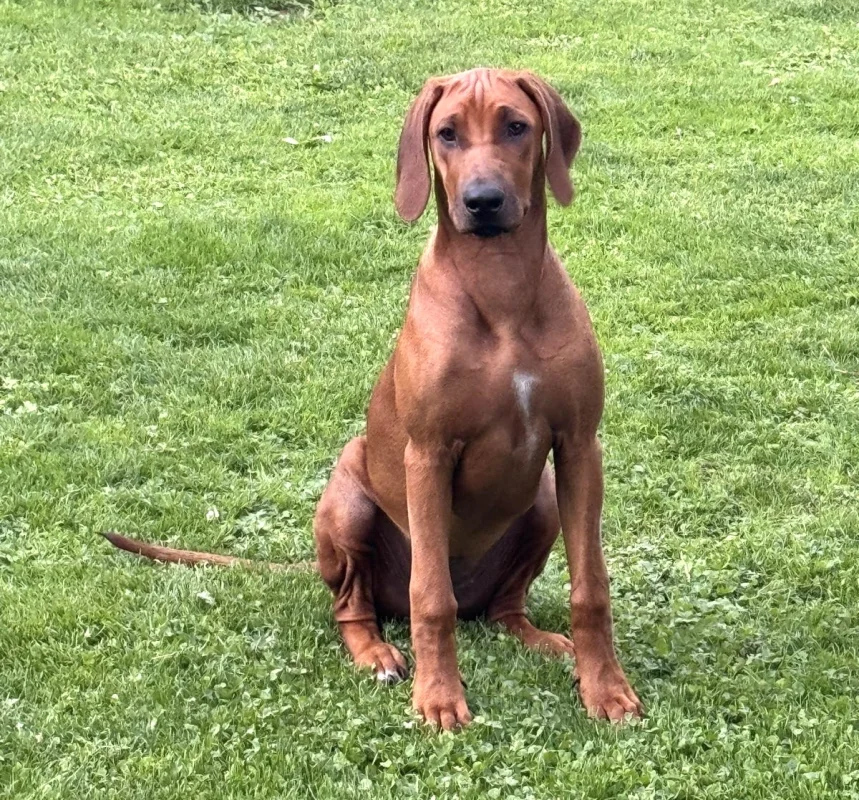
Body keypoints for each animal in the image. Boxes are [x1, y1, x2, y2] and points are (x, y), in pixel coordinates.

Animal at [104, 68, 641, 730]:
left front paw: (605, 687)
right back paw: (379, 653)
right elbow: (429, 597)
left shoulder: (579, 446)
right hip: (349, 500)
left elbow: (591, 586)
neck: (502, 288)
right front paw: (439, 697)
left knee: (502, 609)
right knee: (355, 607)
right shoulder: (428, 454)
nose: (483, 201)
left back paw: (539, 638)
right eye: (447, 133)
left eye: (517, 126)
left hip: (540, 499)